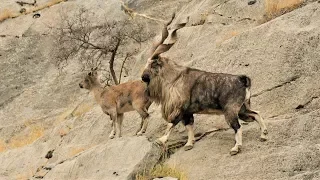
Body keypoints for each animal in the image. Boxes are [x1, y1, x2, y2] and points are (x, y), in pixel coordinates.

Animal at [141, 14, 268, 155]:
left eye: (153, 64)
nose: (143, 77)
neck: (175, 78)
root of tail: (242, 79)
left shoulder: (180, 109)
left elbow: (171, 124)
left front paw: (161, 140)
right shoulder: (188, 113)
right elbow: (189, 126)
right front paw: (189, 144)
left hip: (231, 110)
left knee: (238, 126)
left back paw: (236, 148)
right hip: (243, 109)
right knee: (255, 113)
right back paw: (263, 135)